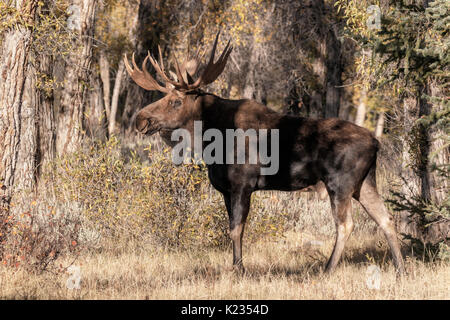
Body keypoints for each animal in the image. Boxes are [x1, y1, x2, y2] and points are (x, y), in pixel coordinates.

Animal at [125, 31, 406, 274]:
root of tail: (376, 142)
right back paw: (400, 269)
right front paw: (236, 265)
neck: (209, 140)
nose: (140, 119)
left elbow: (236, 229)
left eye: (176, 101)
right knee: (386, 219)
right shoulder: (226, 189)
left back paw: (327, 269)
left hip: (340, 183)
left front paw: (239, 269)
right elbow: (232, 228)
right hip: (365, 182)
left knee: (346, 224)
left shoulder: (243, 184)